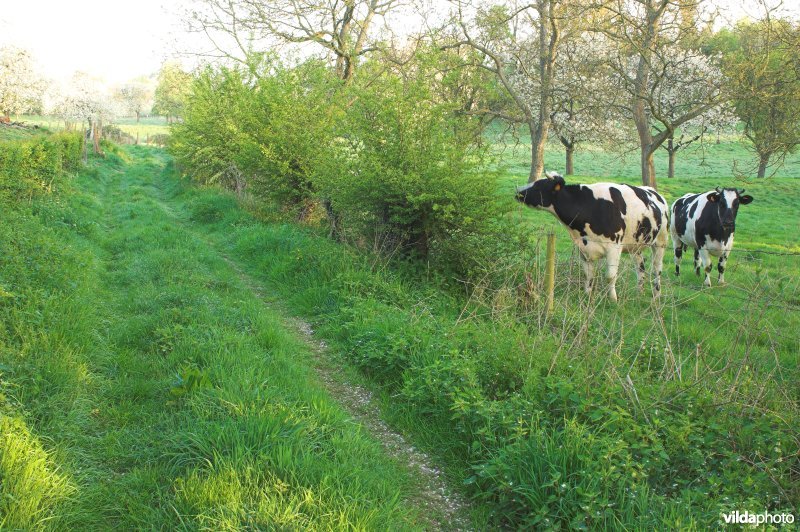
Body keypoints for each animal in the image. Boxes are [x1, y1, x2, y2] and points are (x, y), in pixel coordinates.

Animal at [512, 172, 668, 302]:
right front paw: (587, 295)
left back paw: (656, 296)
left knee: (657, 268)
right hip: (635, 245)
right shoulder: (583, 248)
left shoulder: (614, 247)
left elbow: (610, 276)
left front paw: (613, 299)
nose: (517, 192)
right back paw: (639, 292)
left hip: (661, 241)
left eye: (538, 185)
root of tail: (655, 193)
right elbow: (588, 274)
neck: (589, 206)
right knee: (640, 266)